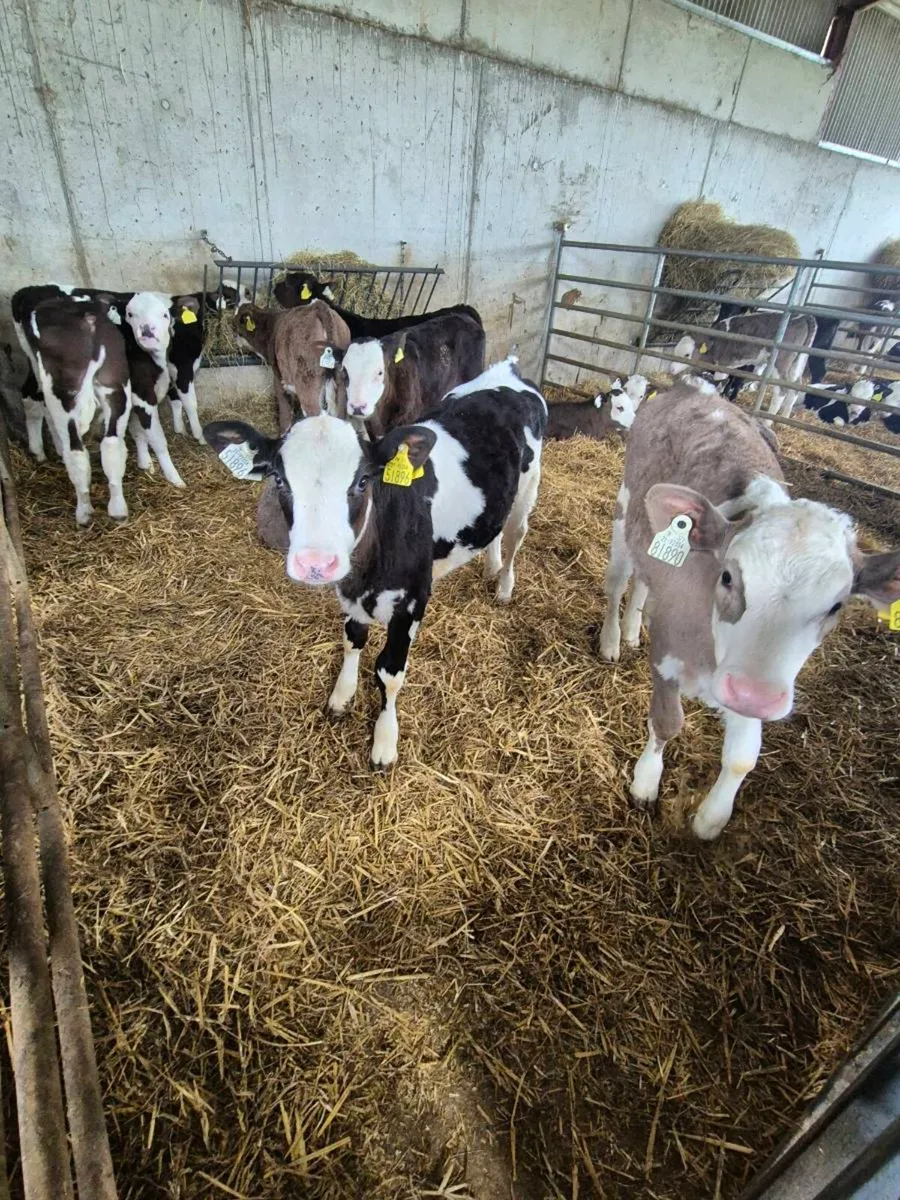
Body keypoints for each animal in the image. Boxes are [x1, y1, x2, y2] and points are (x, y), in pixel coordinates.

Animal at [203, 357, 547, 767]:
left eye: (363, 481)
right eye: (279, 480)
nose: (316, 561)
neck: (367, 574)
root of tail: (506, 371)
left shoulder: (413, 602)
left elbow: (389, 672)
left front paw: (385, 740)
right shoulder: (349, 592)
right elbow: (353, 640)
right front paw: (342, 694)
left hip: (529, 488)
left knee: (516, 535)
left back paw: (504, 585)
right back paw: (491, 566)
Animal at [597, 382, 900, 840]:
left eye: (836, 606)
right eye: (727, 577)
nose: (754, 695)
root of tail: (696, 388)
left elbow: (743, 755)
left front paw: (711, 818)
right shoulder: (667, 653)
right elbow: (667, 722)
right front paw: (645, 782)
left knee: (645, 583)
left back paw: (633, 629)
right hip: (623, 510)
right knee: (618, 584)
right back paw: (613, 639)